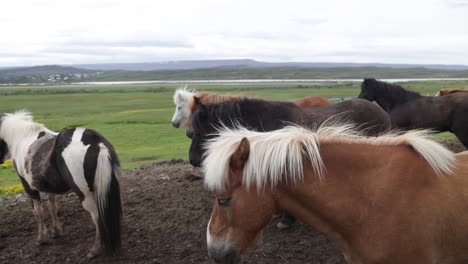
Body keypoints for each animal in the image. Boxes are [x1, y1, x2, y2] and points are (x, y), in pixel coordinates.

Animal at [0, 111, 122, 258]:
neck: (21, 137)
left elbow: (38, 211)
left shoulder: (28, 187)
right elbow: (52, 207)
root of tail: (96, 143)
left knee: (97, 217)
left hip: (86, 195)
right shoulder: (48, 187)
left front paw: (42, 239)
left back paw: (95, 249)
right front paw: (56, 231)